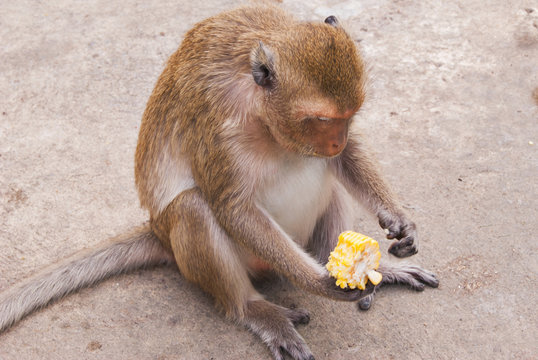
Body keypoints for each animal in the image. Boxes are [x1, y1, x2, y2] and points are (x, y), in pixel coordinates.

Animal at [0, 6, 436, 360]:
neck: (261, 110)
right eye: (319, 120)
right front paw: (319, 283)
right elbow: (232, 207)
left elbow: (345, 161)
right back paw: (255, 309)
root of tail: (157, 233)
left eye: (350, 115)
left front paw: (398, 219)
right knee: (194, 207)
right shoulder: (217, 125)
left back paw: (365, 265)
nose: (336, 140)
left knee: (330, 181)